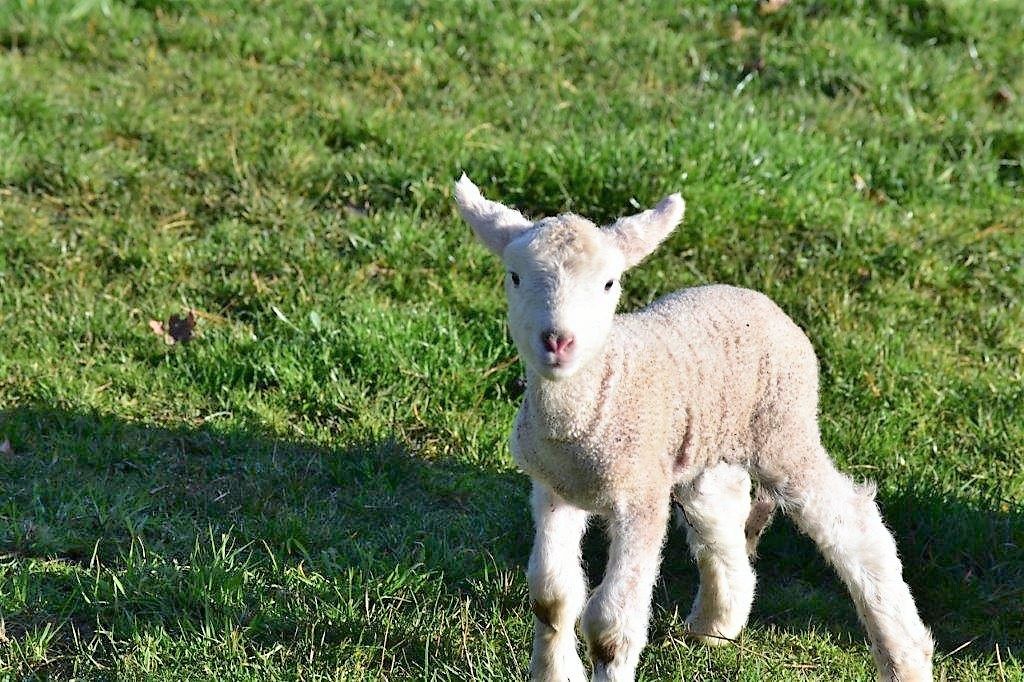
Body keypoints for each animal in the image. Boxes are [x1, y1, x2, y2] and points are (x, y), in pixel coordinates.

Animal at [456, 175, 937, 679]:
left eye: (609, 282)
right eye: (514, 276)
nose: (558, 341)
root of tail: (753, 296)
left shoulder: (640, 496)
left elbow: (609, 625)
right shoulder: (552, 487)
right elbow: (551, 596)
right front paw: (556, 669)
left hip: (784, 427)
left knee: (852, 523)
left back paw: (905, 658)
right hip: (707, 445)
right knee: (720, 515)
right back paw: (716, 625)